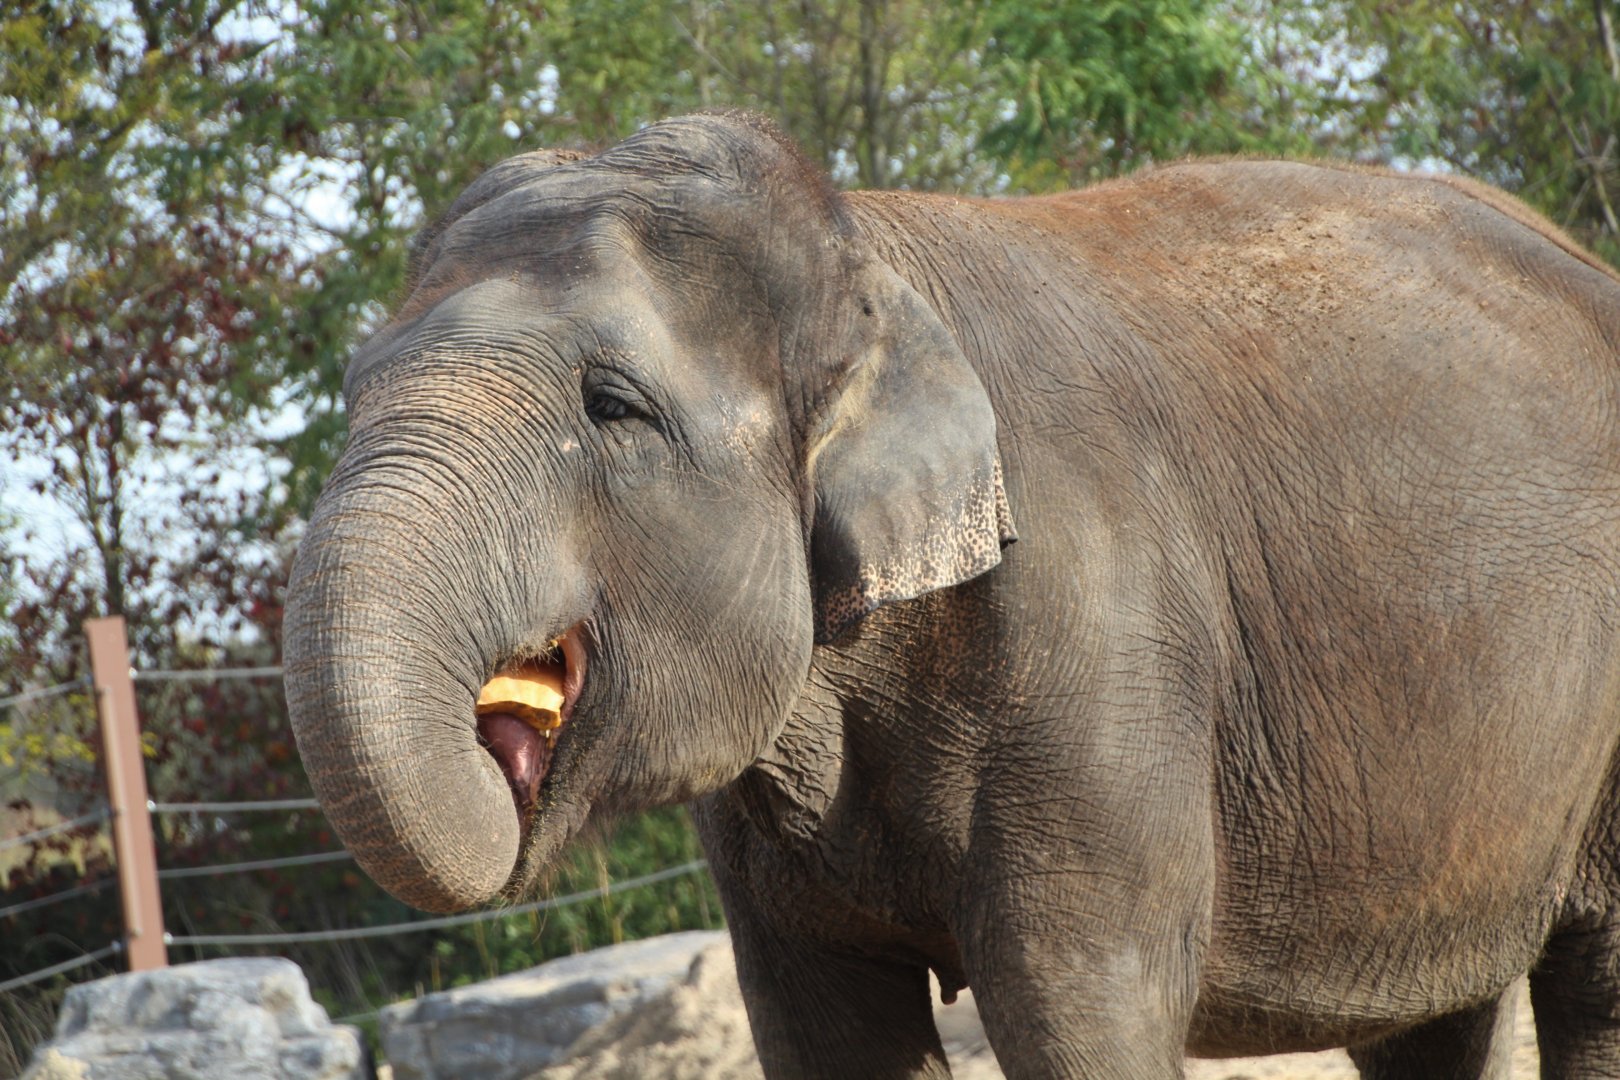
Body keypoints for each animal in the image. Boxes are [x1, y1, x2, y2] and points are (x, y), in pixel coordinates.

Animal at [282, 111, 1620, 1078]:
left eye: (611, 405)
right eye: (352, 388)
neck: (867, 252)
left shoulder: (1102, 628)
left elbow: (1080, 1006)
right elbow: (827, 1027)